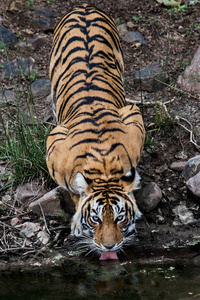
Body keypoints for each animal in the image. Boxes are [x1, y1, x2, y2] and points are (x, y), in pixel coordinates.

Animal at [46, 3, 145, 258]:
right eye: (95, 219)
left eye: (120, 218)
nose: (109, 247)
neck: (104, 168)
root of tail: (84, 6)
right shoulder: (53, 142)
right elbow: (74, 192)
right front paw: (76, 223)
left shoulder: (133, 115)